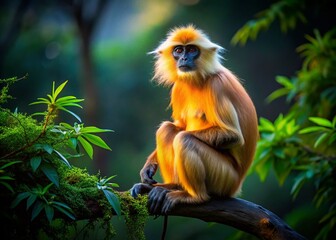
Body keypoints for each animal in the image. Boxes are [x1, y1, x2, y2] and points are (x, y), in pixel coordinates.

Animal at [131, 25, 258, 215]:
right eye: (178, 50)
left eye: (191, 50)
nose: (184, 58)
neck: (198, 79)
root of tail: (236, 186)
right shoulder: (179, 86)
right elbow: (180, 125)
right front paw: (150, 165)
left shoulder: (217, 85)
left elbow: (233, 135)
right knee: (167, 129)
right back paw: (172, 186)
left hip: (224, 178)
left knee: (184, 139)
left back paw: (194, 196)